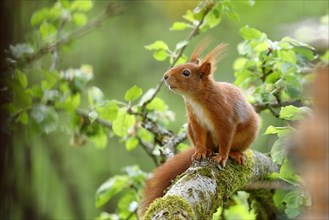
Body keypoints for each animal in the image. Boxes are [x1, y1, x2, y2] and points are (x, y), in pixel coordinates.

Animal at [137, 41, 258, 217]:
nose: (165, 76)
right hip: (190, 128)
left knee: (232, 146)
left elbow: (225, 138)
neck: (196, 99)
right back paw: (207, 150)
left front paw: (222, 156)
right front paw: (201, 151)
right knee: (208, 144)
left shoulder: (225, 118)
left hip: (249, 132)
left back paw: (234, 153)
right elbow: (200, 135)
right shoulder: (194, 120)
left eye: (186, 72)